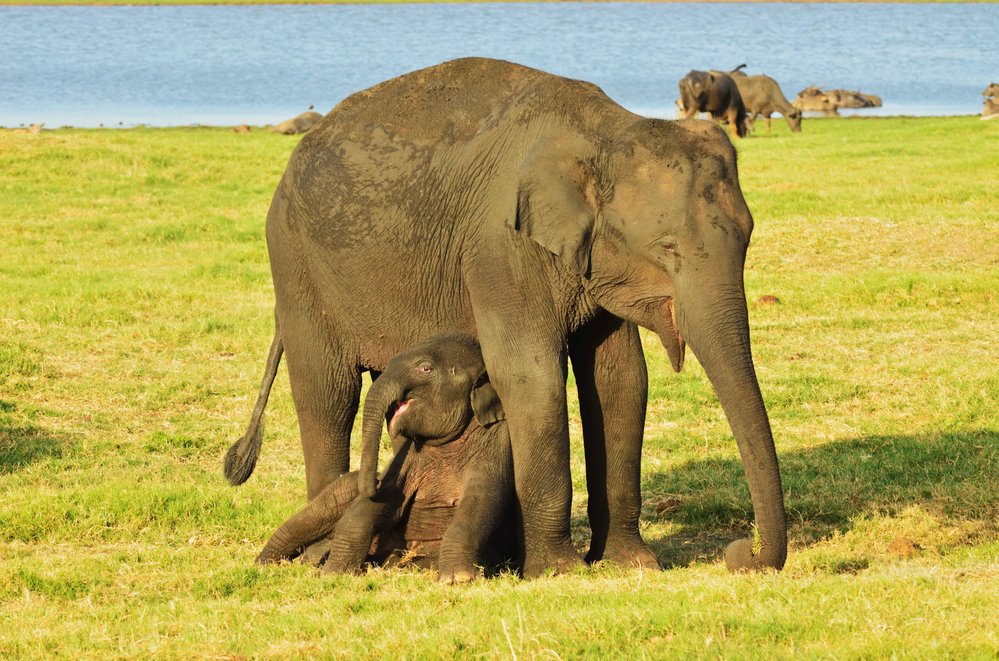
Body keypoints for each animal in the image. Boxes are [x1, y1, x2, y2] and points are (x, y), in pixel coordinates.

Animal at [258, 332, 516, 580]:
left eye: (426, 369)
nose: (376, 478)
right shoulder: (407, 455)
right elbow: (383, 499)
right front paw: (334, 573)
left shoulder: (496, 445)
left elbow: (482, 500)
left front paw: (457, 578)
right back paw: (266, 564)